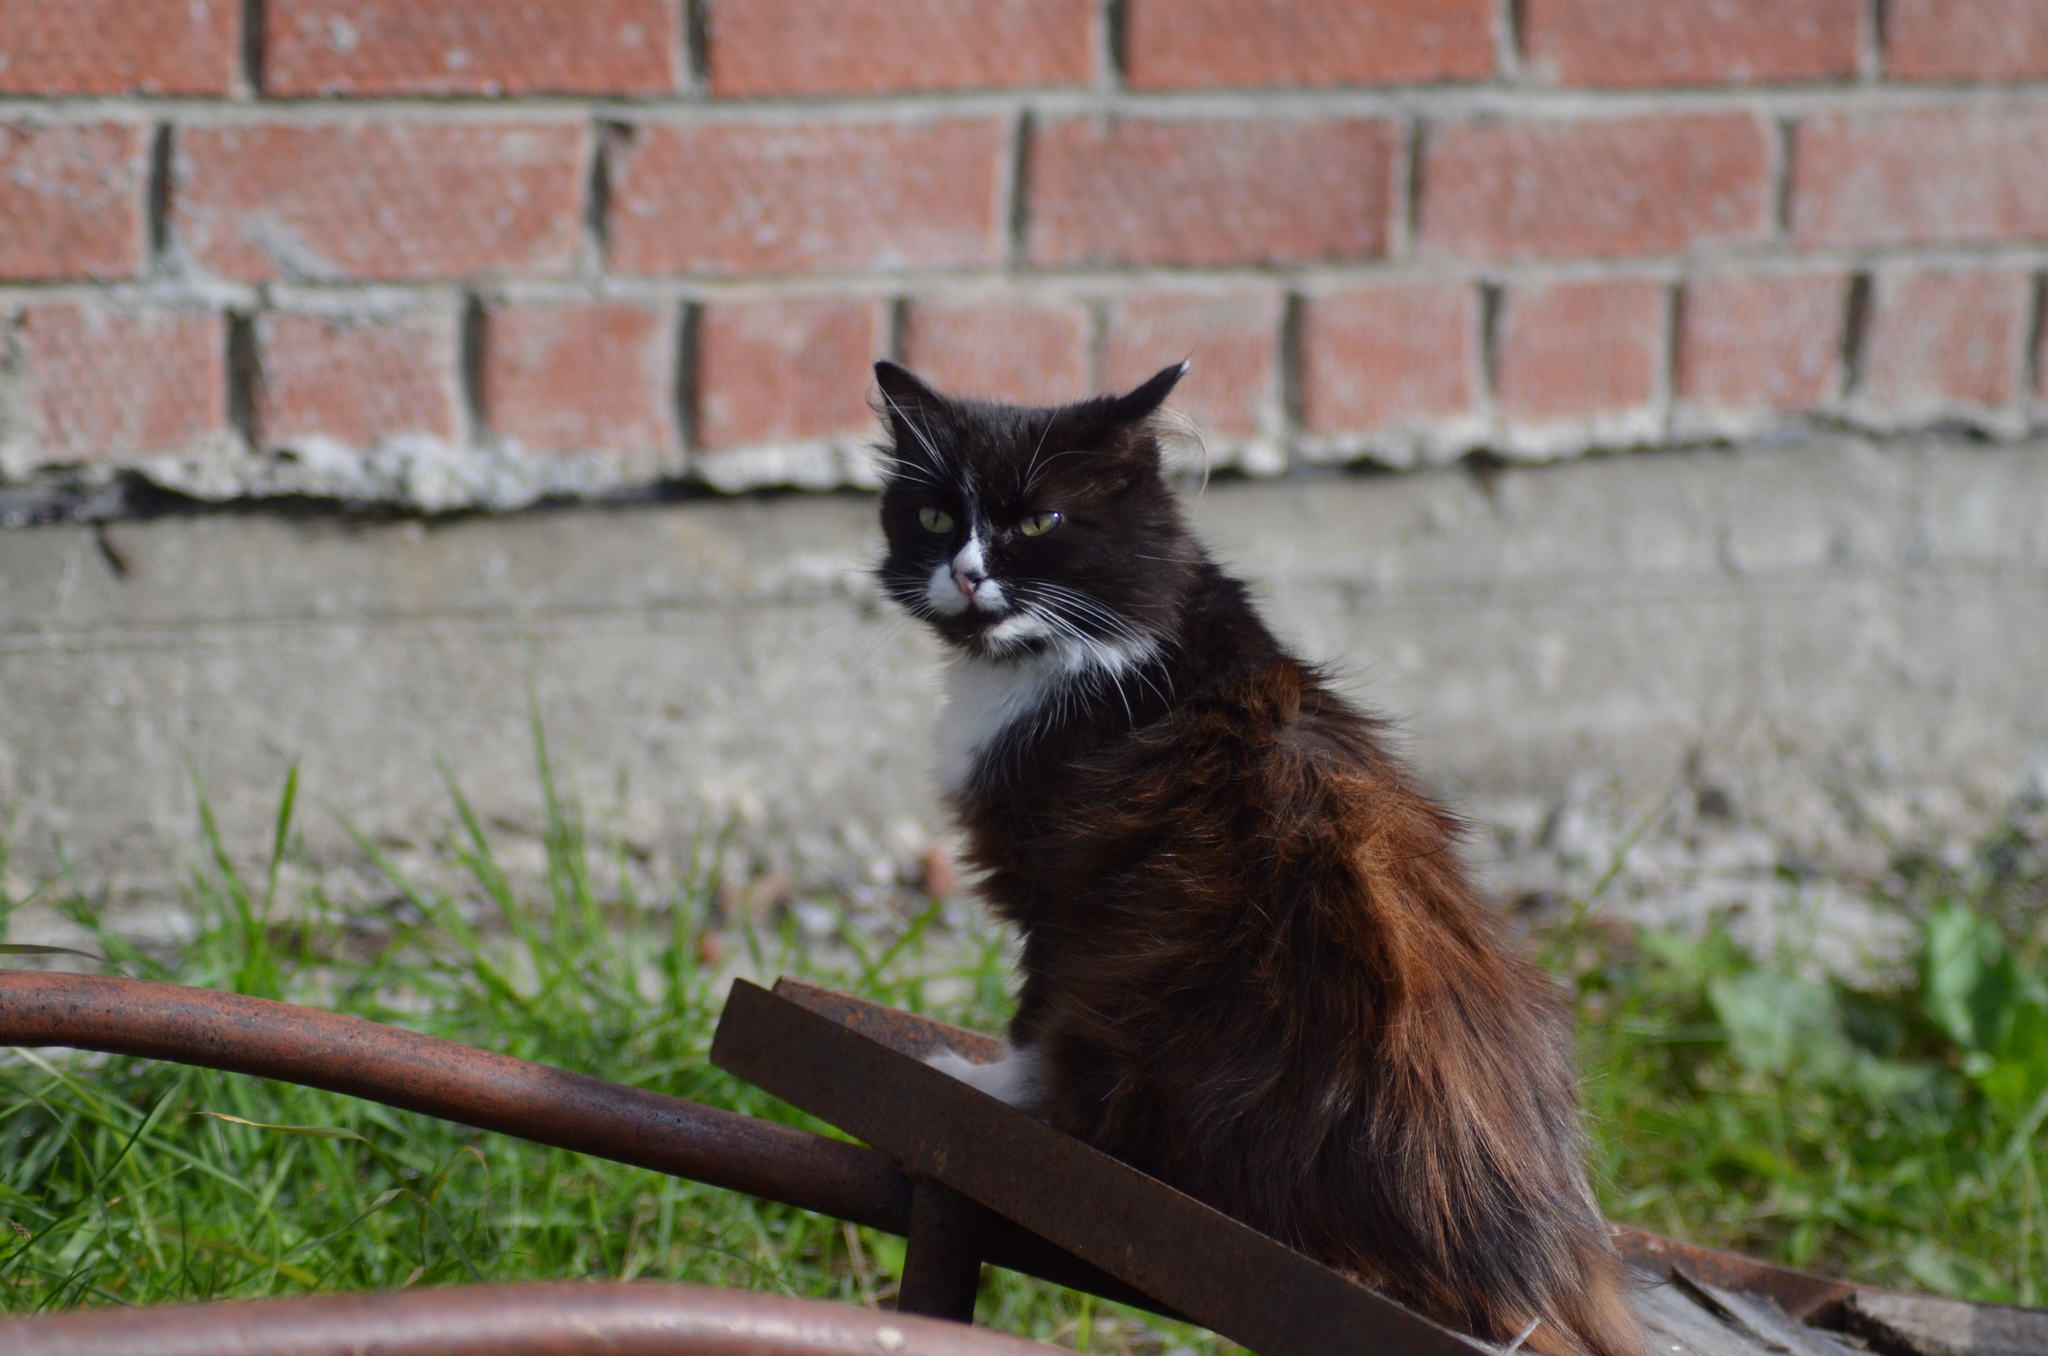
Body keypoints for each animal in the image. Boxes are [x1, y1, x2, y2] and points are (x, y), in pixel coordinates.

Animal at [872, 360, 1638, 1356]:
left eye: (1039, 523)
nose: (966, 574)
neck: (1113, 651)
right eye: (933, 516)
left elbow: (1034, 1021)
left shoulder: (1064, 898)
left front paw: (984, 1084)